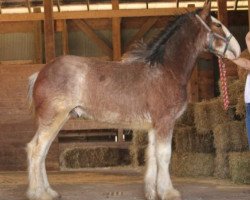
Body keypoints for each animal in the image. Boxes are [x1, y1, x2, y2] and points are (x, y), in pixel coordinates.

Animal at [25, 0, 240, 199]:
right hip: (53, 119)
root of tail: (40, 73)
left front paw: (152, 192)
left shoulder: (154, 126)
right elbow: (164, 156)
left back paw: (49, 191)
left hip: (58, 120)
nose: (237, 51)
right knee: (36, 150)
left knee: (41, 152)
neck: (166, 71)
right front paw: (169, 192)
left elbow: (152, 155)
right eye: (218, 24)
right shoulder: (165, 122)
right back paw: (39, 193)